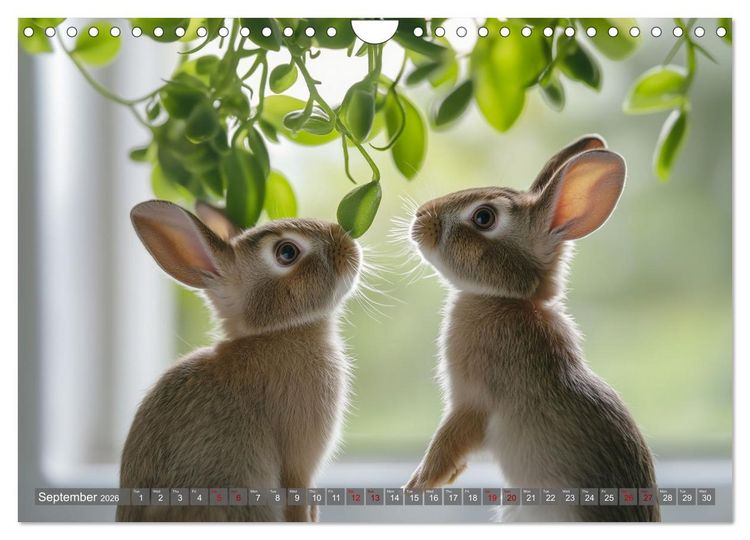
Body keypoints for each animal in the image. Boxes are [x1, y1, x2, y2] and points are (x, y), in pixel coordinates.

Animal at [405, 135, 660, 522]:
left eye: (483, 217)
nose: (420, 217)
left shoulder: (472, 401)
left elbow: (449, 439)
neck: (509, 298)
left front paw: (418, 485)